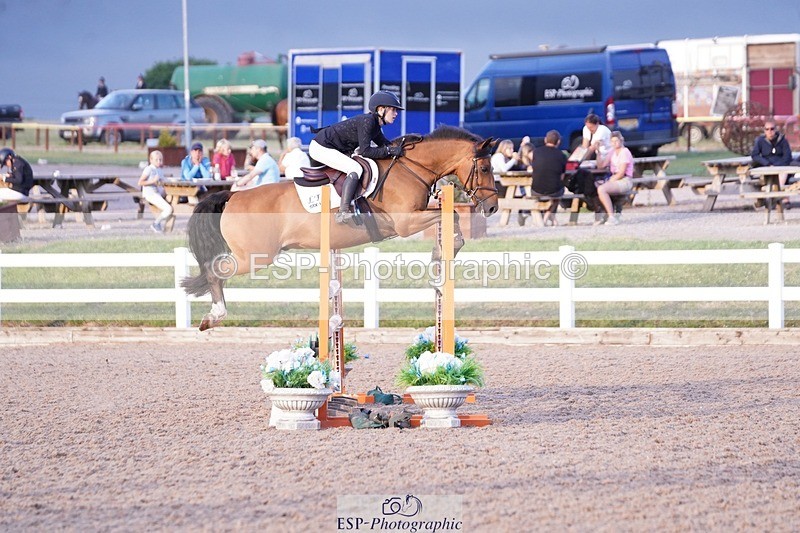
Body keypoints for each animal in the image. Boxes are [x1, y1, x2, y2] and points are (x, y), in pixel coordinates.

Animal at [181, 125, 499, 331]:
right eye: (485, 169)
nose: (493, 207)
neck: (411, 168)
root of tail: (232, 196)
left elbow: (451, 217)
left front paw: (443, 253)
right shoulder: (405, 222)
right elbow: (451, 215)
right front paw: (443, 251)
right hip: (255, 256)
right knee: (215, 270)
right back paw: (214, 316)